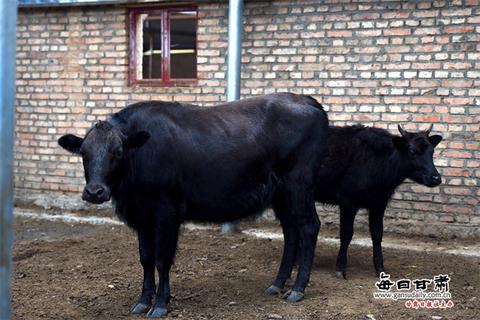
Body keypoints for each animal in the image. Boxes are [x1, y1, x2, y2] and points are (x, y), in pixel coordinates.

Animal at [56, 93, 326, 318]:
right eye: (83, 153)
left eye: (119, 151)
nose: (95, 192)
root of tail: (306, 100)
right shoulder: (142, 217)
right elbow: (146, 258)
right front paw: (143, 301)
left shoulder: (167, 213)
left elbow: (162, 260)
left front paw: (160, 304)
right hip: (281, 194)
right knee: (291, 232)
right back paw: (277, 284)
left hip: (299, 184)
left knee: (309, 227)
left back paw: (298, 289)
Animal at [316, 124, 442, 278]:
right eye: (412, 151)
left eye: (432, 151)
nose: (436, 178)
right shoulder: (348, 202)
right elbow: (346, 234)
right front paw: (340, 268)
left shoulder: (379, 204)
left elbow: (377, 234)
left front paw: (380, 268)